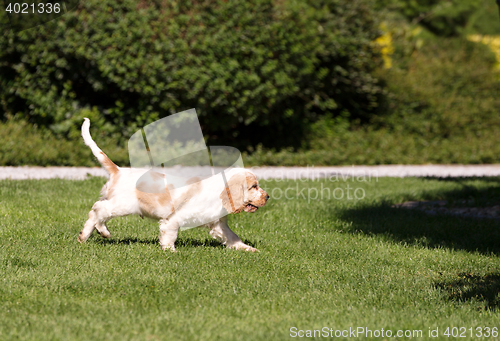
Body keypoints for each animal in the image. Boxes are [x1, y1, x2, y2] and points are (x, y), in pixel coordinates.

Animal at [79, 118, 270, 251]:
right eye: (254, 187)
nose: (267, 197)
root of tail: (119, 170)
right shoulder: (175, 218)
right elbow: (170, 233)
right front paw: (170, 251)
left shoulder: (218, 225)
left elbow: (233, 237)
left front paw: (249, 249)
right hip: (123, 205)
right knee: (98, 209)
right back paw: (92, 234)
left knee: (98, 213)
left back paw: (93, 234)